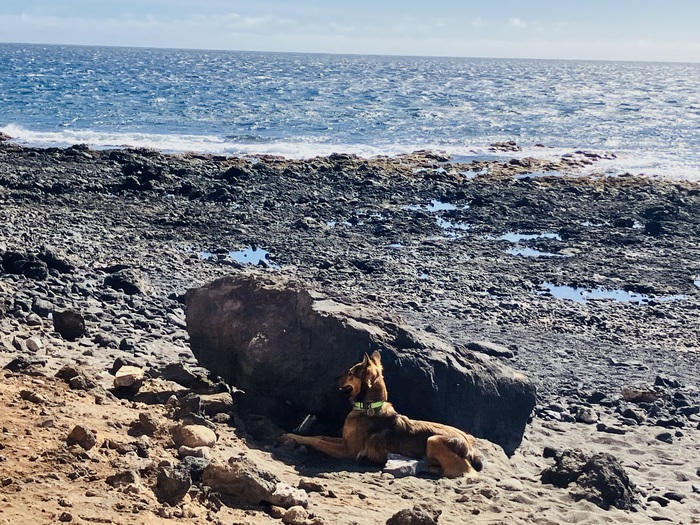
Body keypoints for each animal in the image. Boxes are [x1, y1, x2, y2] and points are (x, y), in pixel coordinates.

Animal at [284, 350, 483, 478]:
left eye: (350, 373)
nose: (335, 378)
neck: (368, 407)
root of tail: (470, 448)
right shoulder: (344, 441)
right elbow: (319, 436)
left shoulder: (349, 450)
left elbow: (317, 441)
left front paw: (292, 437)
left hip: (433, 440)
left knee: (462, 472)